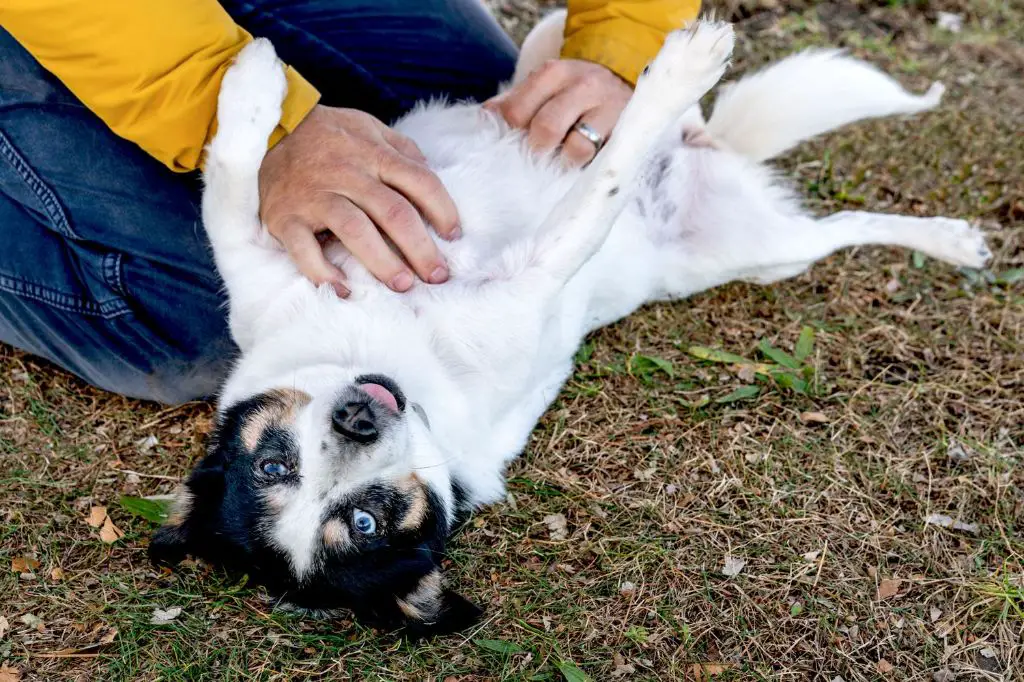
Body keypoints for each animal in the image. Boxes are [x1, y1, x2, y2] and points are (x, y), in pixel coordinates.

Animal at [149, 17, 991, 630]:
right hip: (765, 255)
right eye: (364, 523)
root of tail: (710, 159)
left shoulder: (261, 261)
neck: (393, 346)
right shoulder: (536, 281)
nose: (356, 418)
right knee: (834, 226)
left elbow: (230, 178)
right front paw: (677, 75)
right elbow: (597, 196)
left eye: (272, 465)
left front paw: (252, 83)